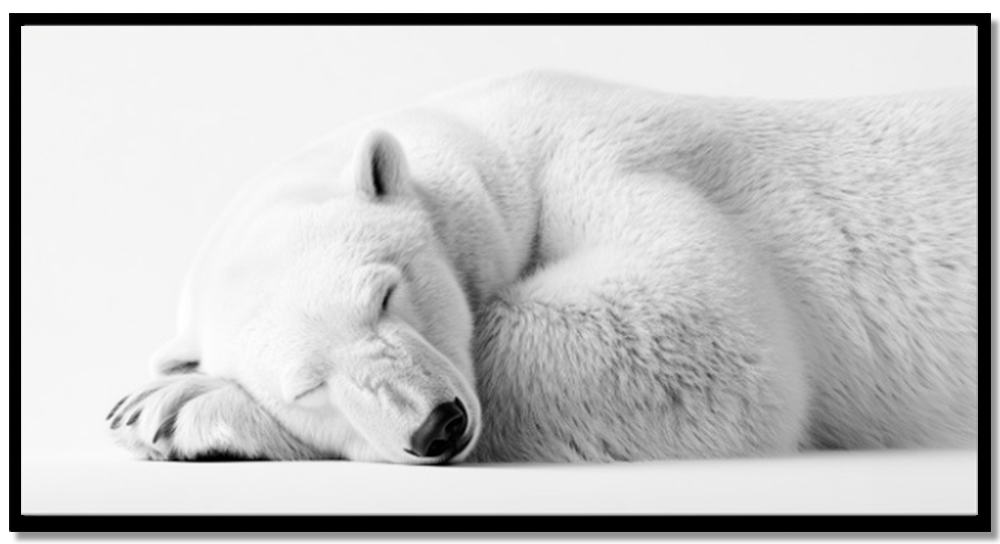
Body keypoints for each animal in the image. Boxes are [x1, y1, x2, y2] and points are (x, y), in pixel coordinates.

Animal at [108, 71, 977, 464]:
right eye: (306, 386)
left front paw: (173, 406)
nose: (438, 424)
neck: (498, 145)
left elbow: (707, 330)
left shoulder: (601, 156)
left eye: (387, 293)